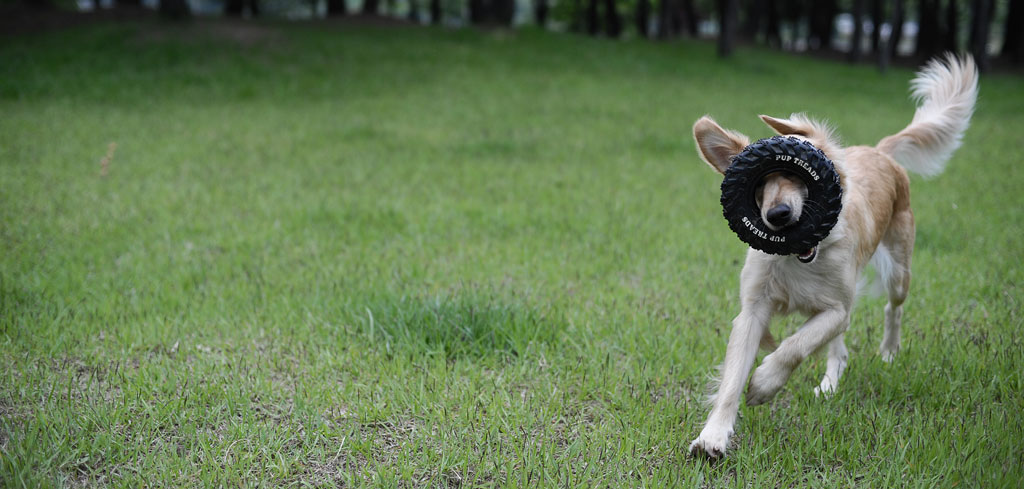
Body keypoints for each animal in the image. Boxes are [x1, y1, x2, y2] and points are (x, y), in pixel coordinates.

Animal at [688, 53, 974, 458]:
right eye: (759, 185)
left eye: (797, 175)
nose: (778, 216)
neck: (798, 259)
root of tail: (879, 151)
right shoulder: (753, 310)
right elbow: (733, 378)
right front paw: (713, 435)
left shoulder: (839, 309)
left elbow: (794, 346)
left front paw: (764, 383)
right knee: (837, 351)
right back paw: (828, 386)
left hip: (898, 270)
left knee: (893, 308)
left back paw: (888, 351)